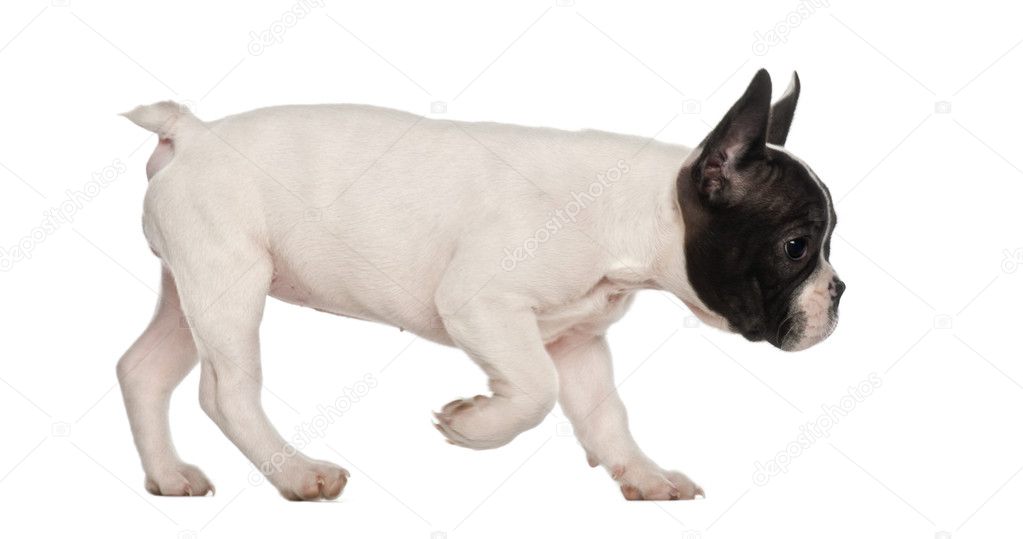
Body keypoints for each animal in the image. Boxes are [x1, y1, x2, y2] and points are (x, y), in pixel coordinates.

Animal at [117, 69, 838, 503]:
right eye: (797, 246)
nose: (840, 292)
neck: (638, 211)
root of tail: (191, 133)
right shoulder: (482, 306)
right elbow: (535, 390)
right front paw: (473, 425)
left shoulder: (579, 343)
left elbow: (603, 412)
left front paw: (643, 474)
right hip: (230, 281)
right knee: (225, 392)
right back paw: (298, 472)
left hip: (189, 286)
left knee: (144, 369)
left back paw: (167, 475)